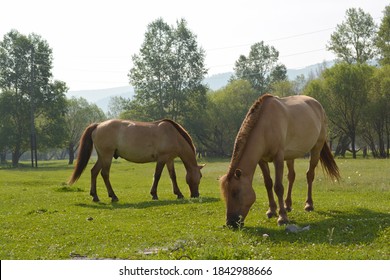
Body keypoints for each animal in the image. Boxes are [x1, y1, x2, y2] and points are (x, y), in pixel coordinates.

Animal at [68, 119, 204, 202]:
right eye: (201, 176)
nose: (196, 195)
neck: (172, 134)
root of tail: (98, 125)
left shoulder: (169, 159)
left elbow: (173, 176)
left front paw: (178, 194)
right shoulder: (162, 159)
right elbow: (157, 175)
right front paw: (154, 194)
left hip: (102, 157)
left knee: (94, 172)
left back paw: (95, 196)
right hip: (107, 156)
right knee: (104, 174)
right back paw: (113, 196)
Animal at [221, 94, 340, 228]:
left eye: (235, 192)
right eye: (225, 194)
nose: (230, 223)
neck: (265, 127)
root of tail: (318, 105)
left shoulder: (278, 158)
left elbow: (278, 187)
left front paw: (282, 217)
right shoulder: (262, 160)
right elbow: (268, 183)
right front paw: (272, 210)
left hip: (316, 149)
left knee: (310, 175)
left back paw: (308, 204)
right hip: (290, 156)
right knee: (291, 176)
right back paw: (288, 205)